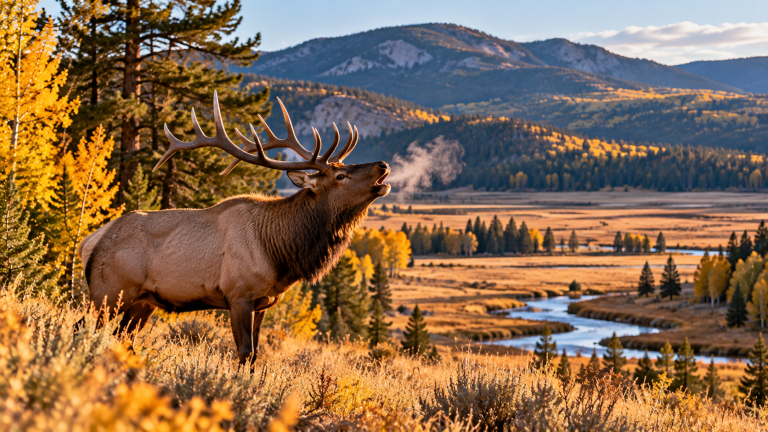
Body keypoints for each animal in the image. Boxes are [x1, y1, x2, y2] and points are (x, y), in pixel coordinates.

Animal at [77, 91, 391, 364]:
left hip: (143, 301)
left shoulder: (264, 302)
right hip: (108, 291)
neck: (280, 255)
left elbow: (256, 354)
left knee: (123, 338)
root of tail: (89, 242)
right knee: (84, 326)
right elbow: (245, 353)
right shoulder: (238, 294)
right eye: (341, 176)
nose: (383, 165)